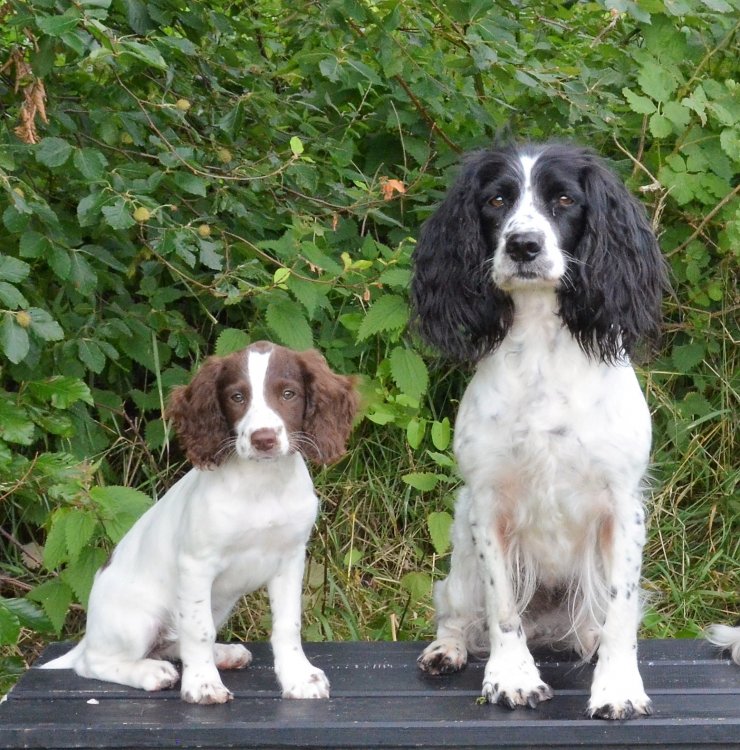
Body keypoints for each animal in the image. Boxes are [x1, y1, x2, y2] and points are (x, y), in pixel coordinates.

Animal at [42, 344, 360, 708]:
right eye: (237, 397)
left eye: (288, 394)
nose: (263, 439)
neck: (263, 484)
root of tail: (90, 631)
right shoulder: (196, 565)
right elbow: (199, 630)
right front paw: (203, 685)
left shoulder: (291, 559)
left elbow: (287, 624)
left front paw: (298, 677)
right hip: (138, 620)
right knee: (93, 663)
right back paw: (150, 672)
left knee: (171, 642)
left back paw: (224, 654)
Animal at [414, 142, 668, 724]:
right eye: (496, 199)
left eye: (565, 199)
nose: (523, 245)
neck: (542, 350)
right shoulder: (487, 506)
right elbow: (502, 609)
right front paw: (512, 678)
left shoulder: (623, 507)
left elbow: (620, 614)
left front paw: (618, 687)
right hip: (460, 549)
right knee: (455, 610)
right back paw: (447, 650)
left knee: (595, 621)